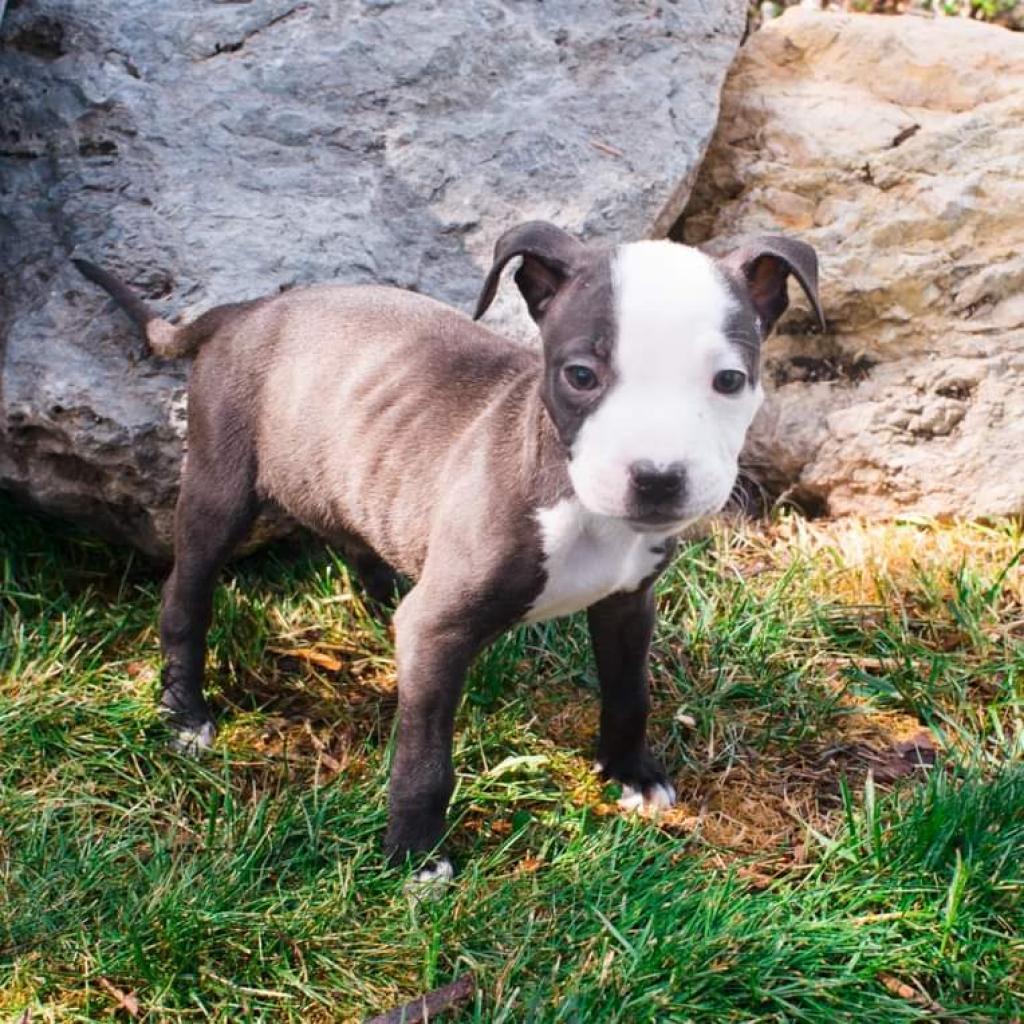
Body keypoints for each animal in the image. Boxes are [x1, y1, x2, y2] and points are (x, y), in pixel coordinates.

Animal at [74, 224, 823, 880]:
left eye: (729, 381)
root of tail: (248, 309)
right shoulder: (439, 631)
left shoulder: (628, 604)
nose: (659, 477)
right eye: (581, 375)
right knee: (186, 596)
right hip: (221, 486)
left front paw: (630, 772)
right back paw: (186, 712)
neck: (579, 506)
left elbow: (629, 691)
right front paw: (414, 854)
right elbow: (425, 761)